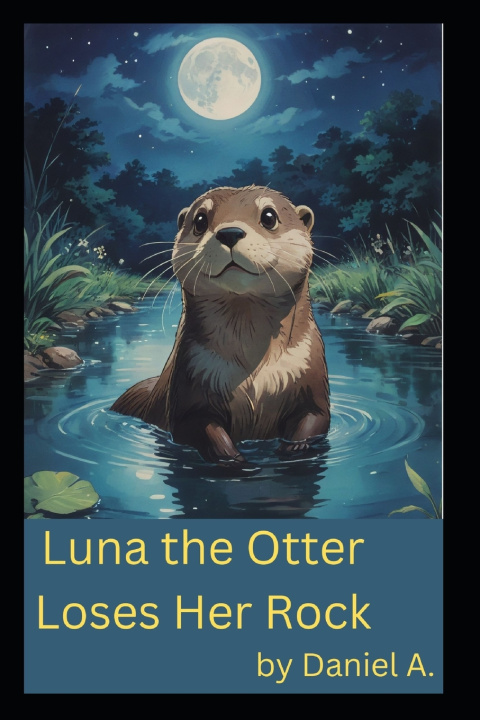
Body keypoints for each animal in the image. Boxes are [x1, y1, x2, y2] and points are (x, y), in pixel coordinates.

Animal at [111, 185, 330, 465]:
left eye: (269, 216)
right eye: (200, 220)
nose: (230, 232)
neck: (254, 369)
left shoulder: (311, 379)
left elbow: (314, 420)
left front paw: (292, 451)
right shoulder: (190, 384)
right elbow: (198, 428)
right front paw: (235, 461)